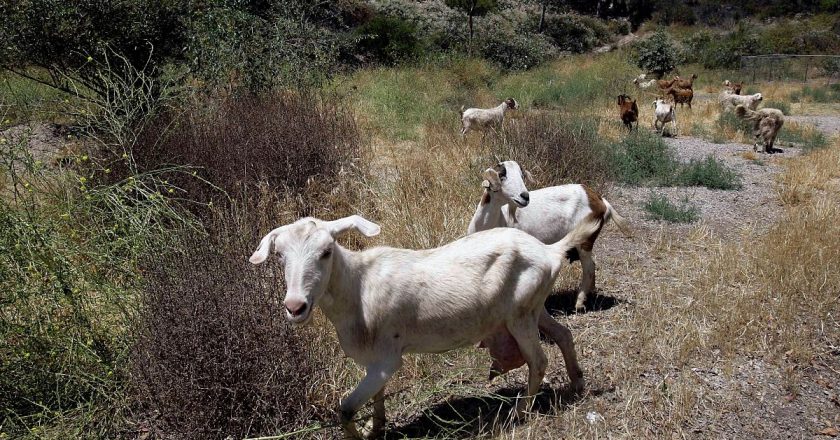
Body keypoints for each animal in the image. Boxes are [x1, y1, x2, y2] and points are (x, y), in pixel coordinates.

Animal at [249, 215, 596, 438]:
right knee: (564, 334)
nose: (295, 307)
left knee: (538, 361)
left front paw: (360, 434)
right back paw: (577, 384)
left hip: (521, 315)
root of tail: (550, 251)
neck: (357, 287)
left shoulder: (388, 358)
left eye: (326, 252)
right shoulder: (376, 361)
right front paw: (376, 427)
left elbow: (345, 409)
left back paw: (519, 413)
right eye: (279, 256)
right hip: (534, 308)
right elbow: (377, 396)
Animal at [466, 161, 632, 312]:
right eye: (502, 175)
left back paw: (579, 302)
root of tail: (600, 200)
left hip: (585, 240)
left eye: (521, 176)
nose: (525, 196)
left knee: (589, 268)